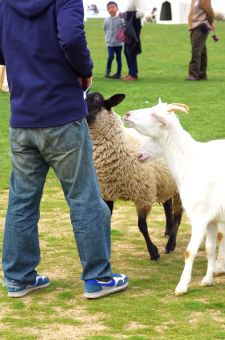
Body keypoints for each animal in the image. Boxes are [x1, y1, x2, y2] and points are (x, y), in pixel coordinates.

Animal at [85, 91, 183, 262]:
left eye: (97, 99)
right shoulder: (107, 194)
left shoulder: (143, 195)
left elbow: (142, 226)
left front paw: (154, 253)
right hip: (164, 181)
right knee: (167, 204)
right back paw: (168, 230)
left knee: (178, 215)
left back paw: (171, 244)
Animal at [123, 98, 225, 294]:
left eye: (153, 114)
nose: (127, 114)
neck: (191, 163)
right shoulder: (212, 217)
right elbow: (209, 248)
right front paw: (207, 279)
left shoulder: (199, 216)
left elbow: (189, 252)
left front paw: (182, 286)